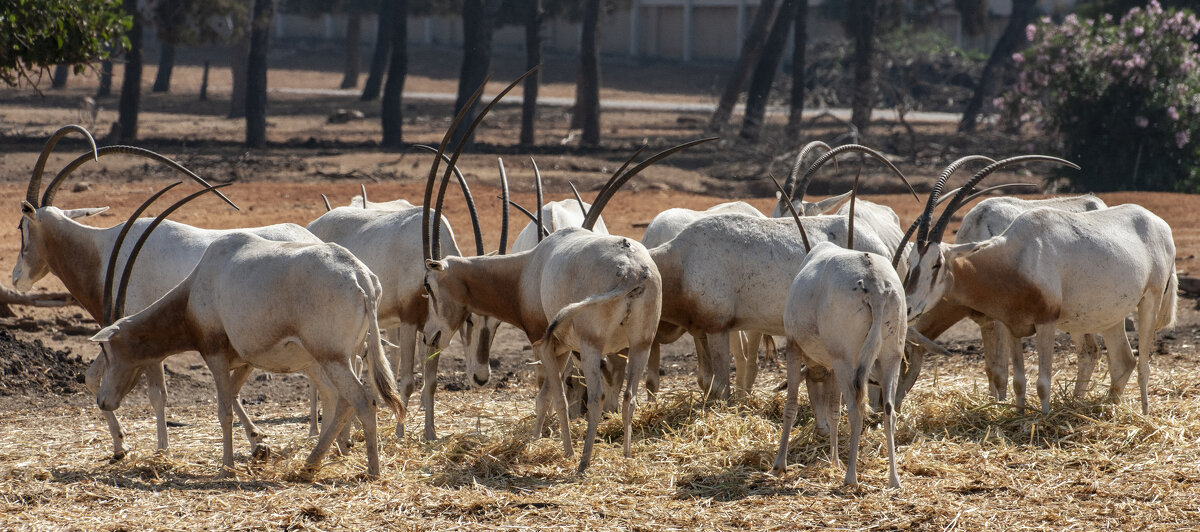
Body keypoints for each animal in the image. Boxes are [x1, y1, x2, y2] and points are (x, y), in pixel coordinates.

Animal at [15, 126, 314, 463]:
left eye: (20, 227)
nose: (16, 278)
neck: (99, 253)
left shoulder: (139, 335)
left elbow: (157, 394)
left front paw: (160, 450)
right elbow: (92, 378)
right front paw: (120, 445)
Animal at [90, 187, 408, 477]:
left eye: (107, 348)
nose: (103, 400)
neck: (197, 287)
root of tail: (361, 277)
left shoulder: (215, 354)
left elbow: (224, 411)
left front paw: (226, 467)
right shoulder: (246, 359)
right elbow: (234, 396)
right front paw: (258, 447)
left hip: (332, 356)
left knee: (362, 400)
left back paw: (371, 471)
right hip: (341, 356)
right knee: (343, 401)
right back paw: (310, 464)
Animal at [902, 158, 1176, 415]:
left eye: (936, 263)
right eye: (911, 261)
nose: (907, 308)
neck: (1015, 258)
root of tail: (1159, 223)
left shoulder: (1046, 322)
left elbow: (1041, 383)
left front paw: (1042, 418)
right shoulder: (1011, 325)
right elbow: (1017, 381)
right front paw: (1018, 416)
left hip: (1149, 301)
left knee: (1142, 365)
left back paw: (1144, 414)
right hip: (1107, 313)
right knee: (1122, 360)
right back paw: (1106, 408)